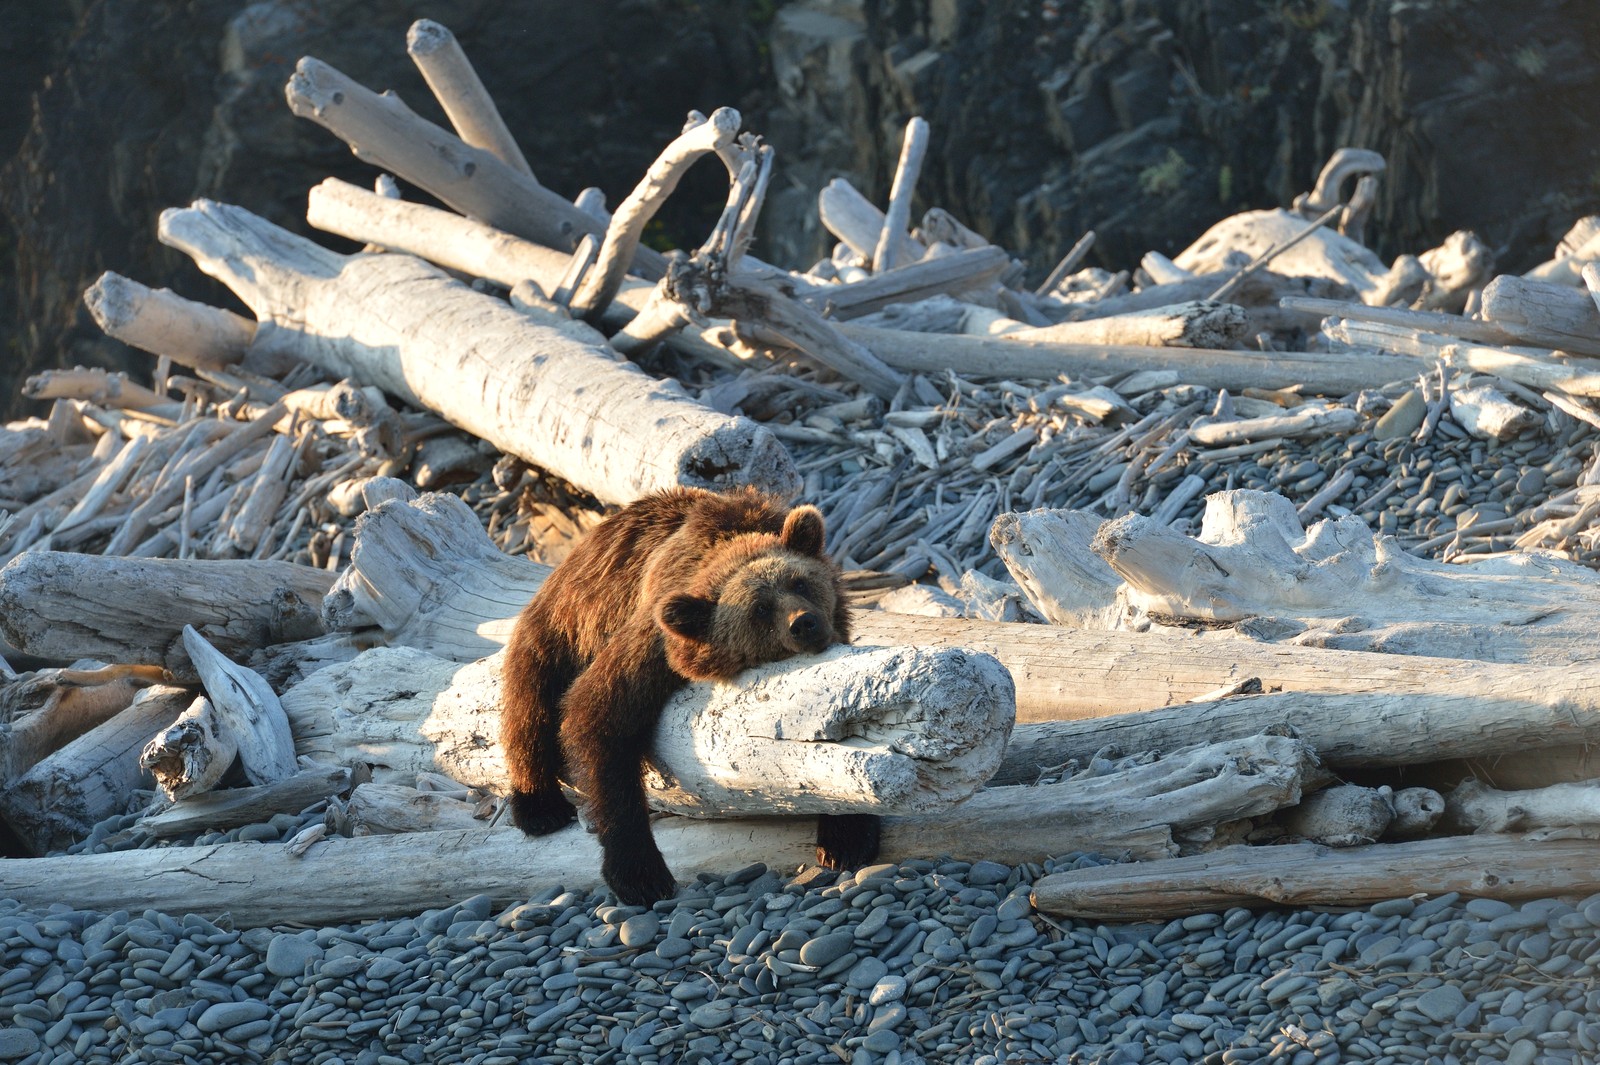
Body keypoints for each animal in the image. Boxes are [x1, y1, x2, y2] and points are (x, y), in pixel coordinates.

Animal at [500, 486, 881, 905]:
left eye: (799, 582)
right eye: (760, 609)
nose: (804, 623)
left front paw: (845, 837)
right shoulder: (653, 638)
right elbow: (597, 714)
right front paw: (640, 874)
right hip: (563, 626)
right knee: (529, 700)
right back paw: (538, 806)